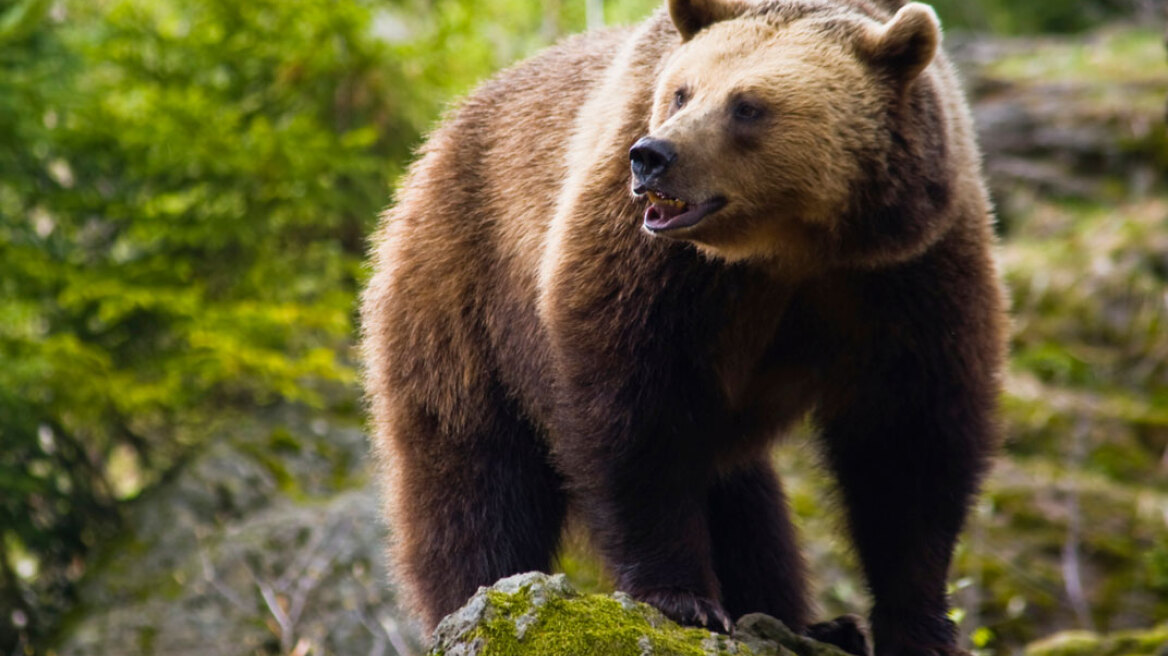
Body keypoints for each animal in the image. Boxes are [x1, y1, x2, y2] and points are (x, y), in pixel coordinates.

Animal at [362, 0, 1004, 648]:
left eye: (747, 105)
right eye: (680, 92)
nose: (651, 156)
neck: (788, 248)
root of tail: (441, 135)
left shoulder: (903, 275)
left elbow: (908, 442)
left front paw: (918, 626)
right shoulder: (652, 266)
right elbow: (633, 417)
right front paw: (681, 597)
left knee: (747, 502)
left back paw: (810, 622)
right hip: (463, 288)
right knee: (473, 473)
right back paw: (477, 592)